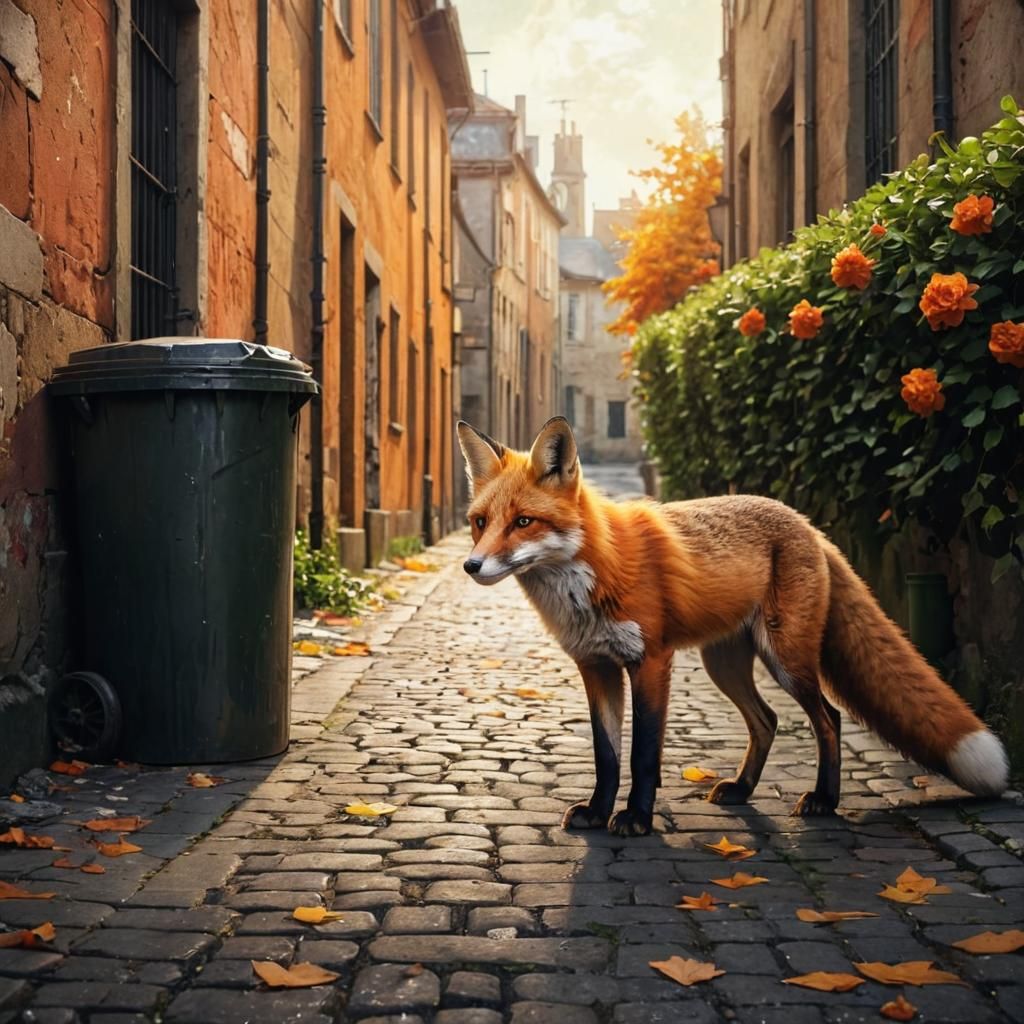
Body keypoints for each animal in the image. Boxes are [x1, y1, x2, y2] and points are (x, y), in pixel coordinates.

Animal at [456, 415, 1009, 837]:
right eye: (480, 522)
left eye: (524, 522)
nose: (471, 566)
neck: (595, 567)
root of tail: (808, 524)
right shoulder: (596, 667)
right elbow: (606, 755)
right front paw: (597, 811)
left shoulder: (651, 661)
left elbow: (643, 754)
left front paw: (636, 819)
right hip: (724, 664)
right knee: (768, 720)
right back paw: (743, 790)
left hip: (786, 658)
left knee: (828, 718)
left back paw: (824, 800)